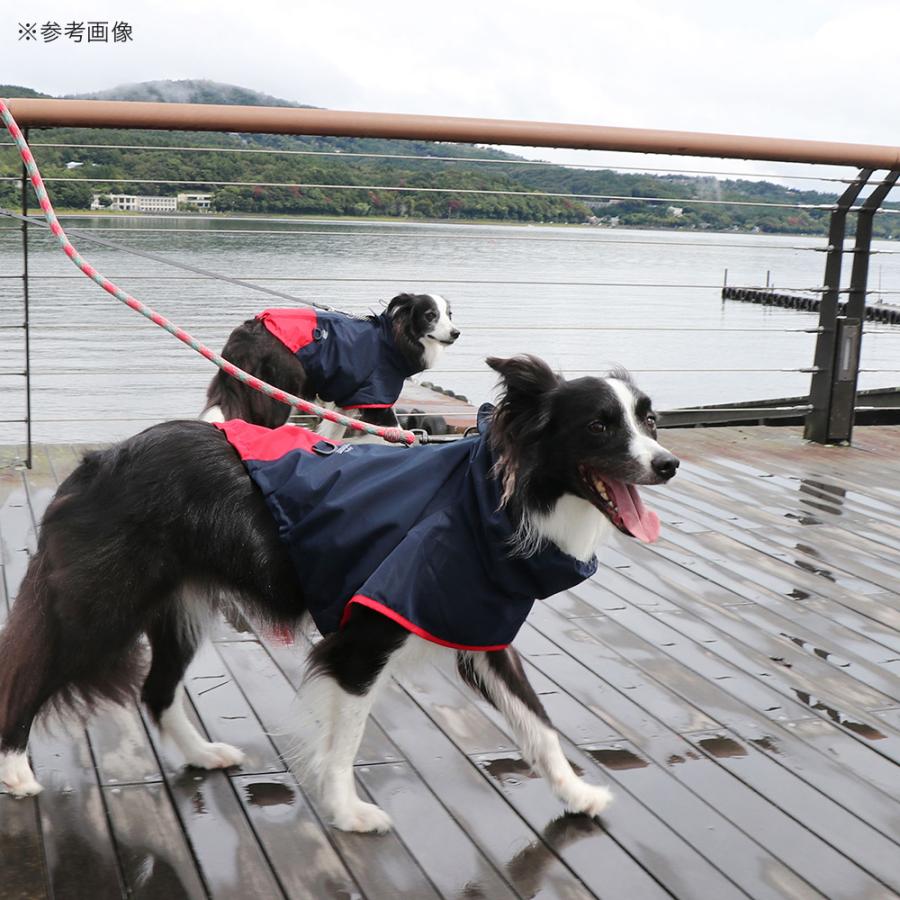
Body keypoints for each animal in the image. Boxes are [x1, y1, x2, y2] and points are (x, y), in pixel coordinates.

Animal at [0, 356, 676, 832]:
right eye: (598, 425)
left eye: (649, 420)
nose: (668, 464)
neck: (486, 502)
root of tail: (95, 463)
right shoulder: (361, 641)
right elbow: (346, 739)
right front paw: (348, 812)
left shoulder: (479, 632)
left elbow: (539, 725)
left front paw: (577, 793)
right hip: (97, 611)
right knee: (29, 675)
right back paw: (16, 772)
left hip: (178, 608)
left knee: (157, 690)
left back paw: (201, 754)